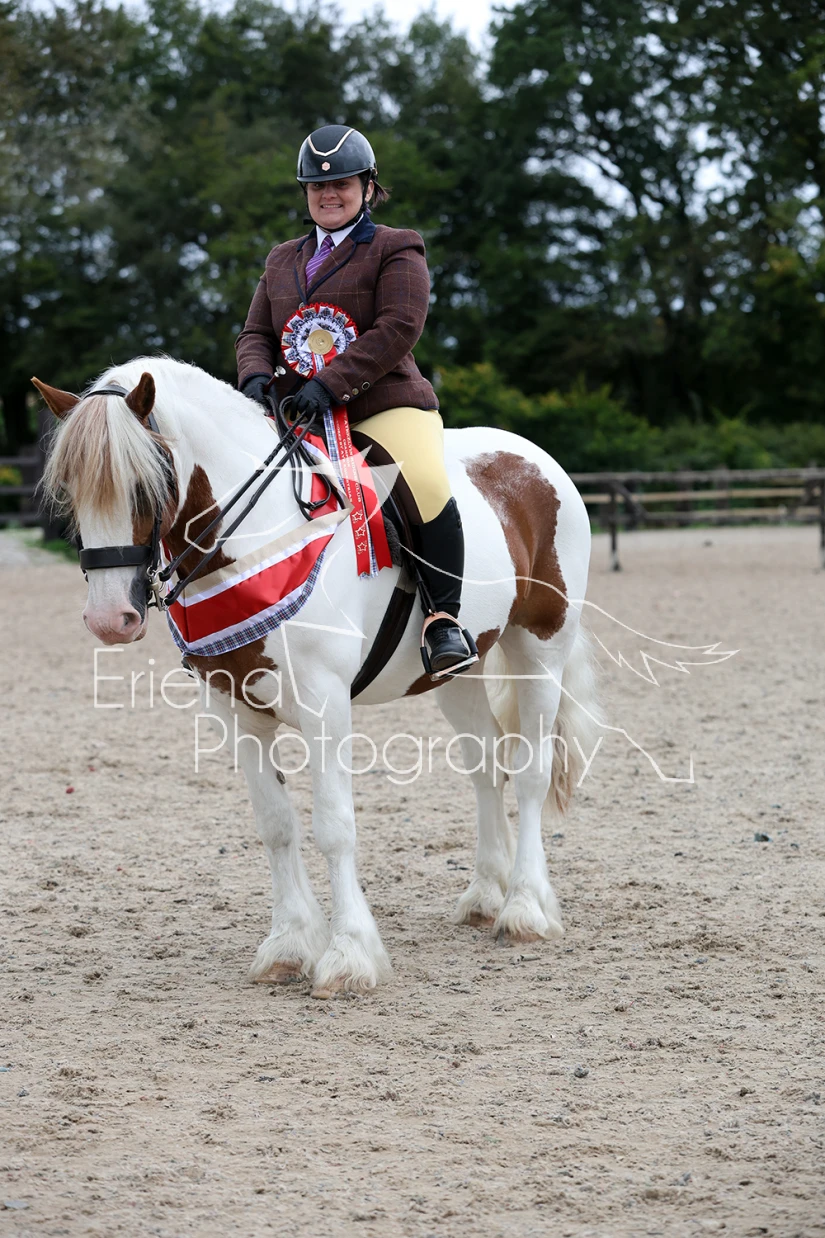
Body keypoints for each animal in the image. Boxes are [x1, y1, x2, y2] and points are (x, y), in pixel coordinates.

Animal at [37, 356, 601, 998]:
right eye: (70, 490)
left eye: (146, 483)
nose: (110, 619)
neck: (254, 541)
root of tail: (533, 458)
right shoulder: (233, 707)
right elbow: (276, 824)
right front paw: (288, 945)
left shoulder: (325, 701)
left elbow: (333, 826)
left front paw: (349, 954)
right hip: (462, 668)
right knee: (486, 769)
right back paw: (485, 896)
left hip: (541, 648)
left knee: (530, 773)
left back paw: (525, 909)